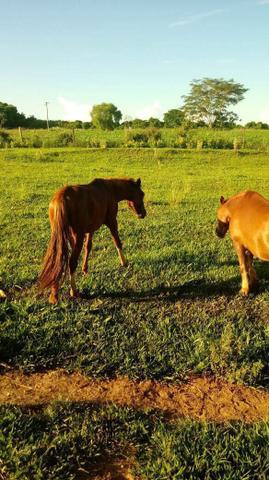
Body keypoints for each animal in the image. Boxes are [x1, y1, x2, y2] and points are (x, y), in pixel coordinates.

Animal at [38, 176, 146, 304]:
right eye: (142, 194)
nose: (143, 214)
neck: (110, 190)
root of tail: (62, 197)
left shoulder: (90, 229)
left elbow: (88, 247)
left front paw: (85, 269)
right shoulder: (112, 222)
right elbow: (117, 241)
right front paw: (124, 263)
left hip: (61, 236)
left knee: (58, 260)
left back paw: (55, 293)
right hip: (78, 236)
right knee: (71, 262)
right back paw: (74, 291)